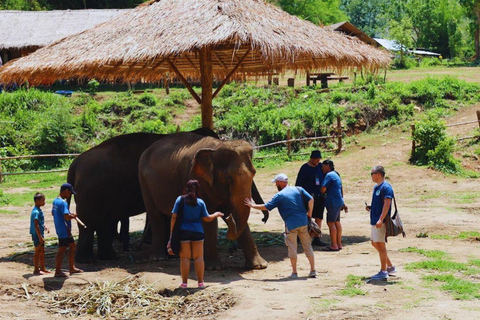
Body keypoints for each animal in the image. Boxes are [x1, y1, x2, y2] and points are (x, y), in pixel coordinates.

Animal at [137, 131, 268, 268]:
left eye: (254, 173)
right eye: (229, 177)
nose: (263, 219)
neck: (216, 147)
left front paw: (260, 265)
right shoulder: (194, 179)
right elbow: (208, 216)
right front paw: (215, 267)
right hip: (144, 183)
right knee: (156, 217)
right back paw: (159, 258)